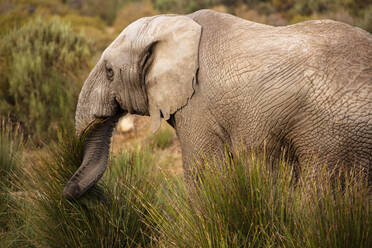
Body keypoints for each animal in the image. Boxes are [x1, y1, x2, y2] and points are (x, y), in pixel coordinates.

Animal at [62, 8, 370, 201]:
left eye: (109, 72)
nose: (69, 194)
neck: (175, 23)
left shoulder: (198, 104)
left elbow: (204, 175)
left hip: (335, 132)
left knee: (320, 189)